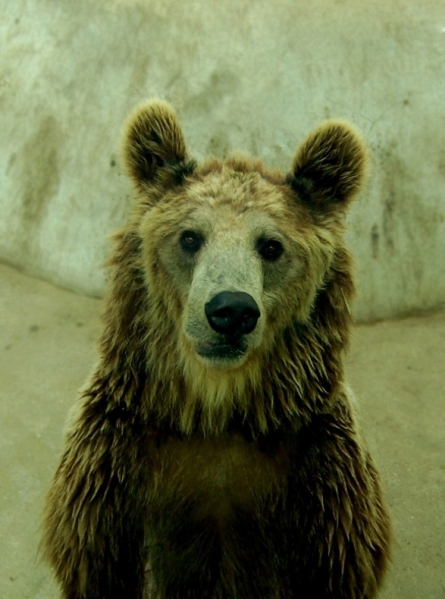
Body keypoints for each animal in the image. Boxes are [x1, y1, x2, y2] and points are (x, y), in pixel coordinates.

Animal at [41, 101, 388, 596]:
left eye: (271, 246)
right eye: (190, 237)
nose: (231, 311)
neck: (217, 410)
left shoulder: (323, 486)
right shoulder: (111, 469)